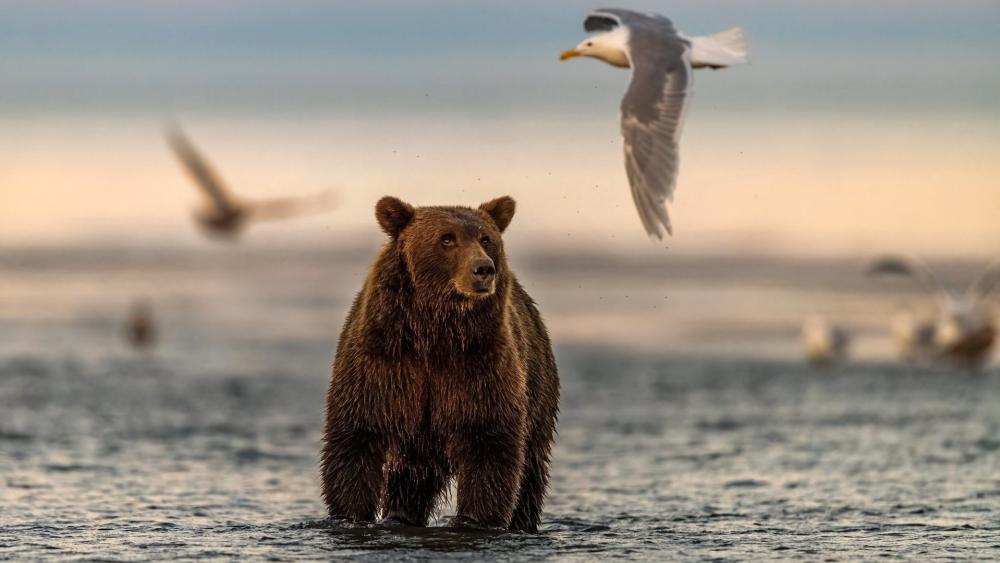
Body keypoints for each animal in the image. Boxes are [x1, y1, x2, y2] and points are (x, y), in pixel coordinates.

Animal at [320, 195, 560, 533]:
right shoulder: (382, 363)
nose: (483, 268)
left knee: (530, 471)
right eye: (447, 238)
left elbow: (489, 444)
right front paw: (349, 515)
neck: (434, 332)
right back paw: (400, 515)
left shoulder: (478, 365)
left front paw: (475, 520)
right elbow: (356, 438)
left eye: (486, 238)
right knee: (412, 477)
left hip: (537, 389)